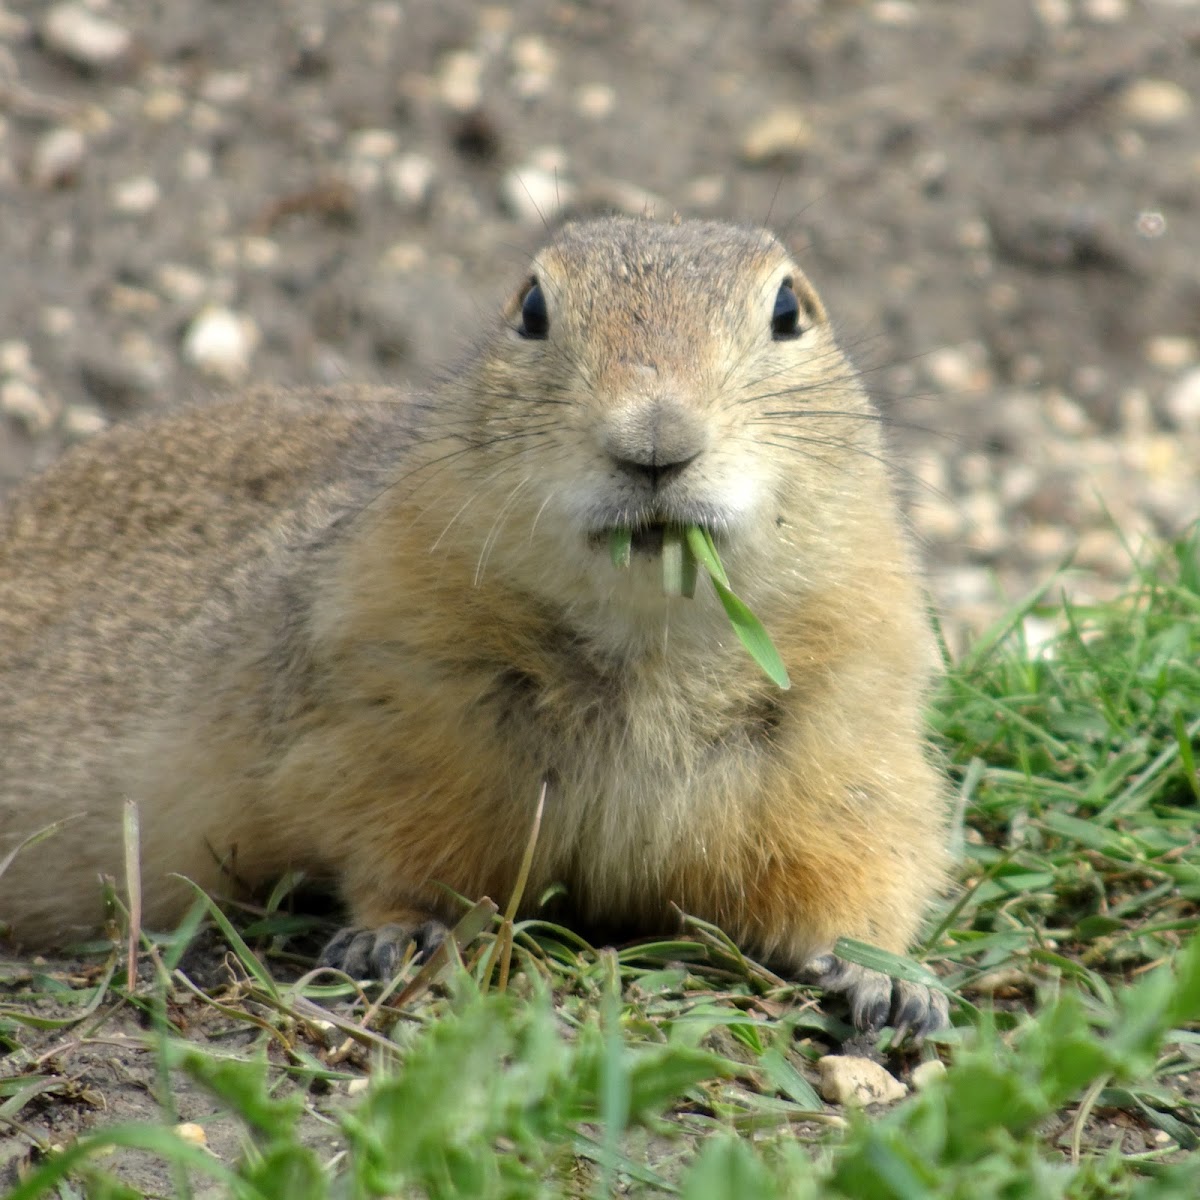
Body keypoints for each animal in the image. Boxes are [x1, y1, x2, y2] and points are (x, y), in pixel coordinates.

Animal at [4, 220, 950, 1036]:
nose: (656, 436)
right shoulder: (395, 708)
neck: (647, 644)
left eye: (789, 310)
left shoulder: (846, 724)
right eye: (530, 308)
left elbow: (864, 861)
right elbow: (395, 847)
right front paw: (391, 933)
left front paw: (892, 982)